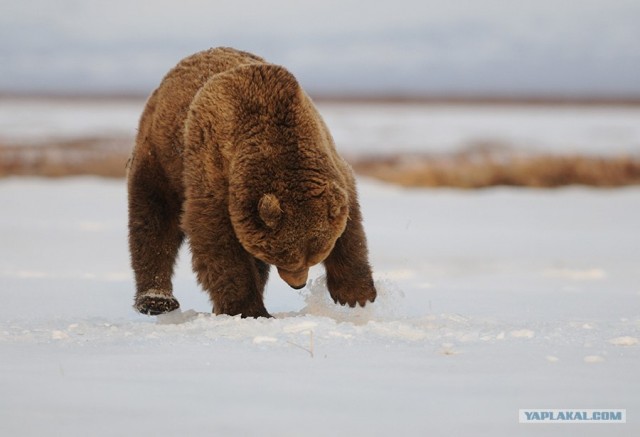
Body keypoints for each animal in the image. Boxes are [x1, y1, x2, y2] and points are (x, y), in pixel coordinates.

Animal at [128, 46, 378, 316]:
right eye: (284, 257)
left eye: (315, 256)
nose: (298, 284)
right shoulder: (214, 167)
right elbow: (215, 237)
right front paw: (248, 309)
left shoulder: (329, 158)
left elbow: (351, 223)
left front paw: (356, 295)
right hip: (160, 154)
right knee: (153, 218)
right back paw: (156, 300)